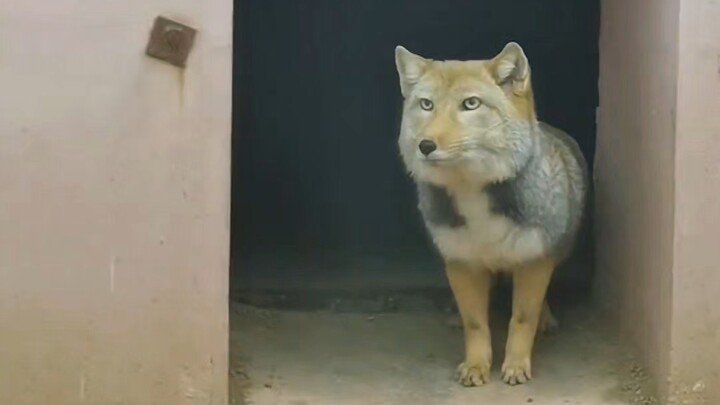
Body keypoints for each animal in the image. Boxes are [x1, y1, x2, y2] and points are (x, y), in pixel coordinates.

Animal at [394, 42, 588, 386]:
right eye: (426, 105)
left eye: (471, 104)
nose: (425, 145)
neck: (472, 193)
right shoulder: (461, 262)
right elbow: (475, 322)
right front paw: (476, 365)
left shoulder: (534, 259)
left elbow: (523, 318)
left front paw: (516, 365)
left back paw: (546, 318)